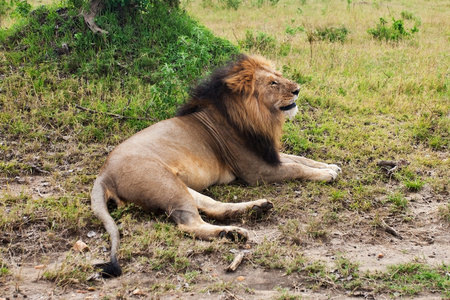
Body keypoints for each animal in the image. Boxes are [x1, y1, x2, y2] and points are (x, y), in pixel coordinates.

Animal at [91, 54, 342, 276]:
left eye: (279, 76)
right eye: (273, 83)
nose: (298, 89)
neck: (256, 116)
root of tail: (103, 173)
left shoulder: (267, 154)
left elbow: (300, 158)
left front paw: (330, 165)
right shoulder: (257, 171)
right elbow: (296, 167)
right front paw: (326, 174)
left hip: (177, 185)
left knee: (213, 206)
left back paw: (256, 208)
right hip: (166, 184)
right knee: (190, 224)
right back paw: (231, 234)